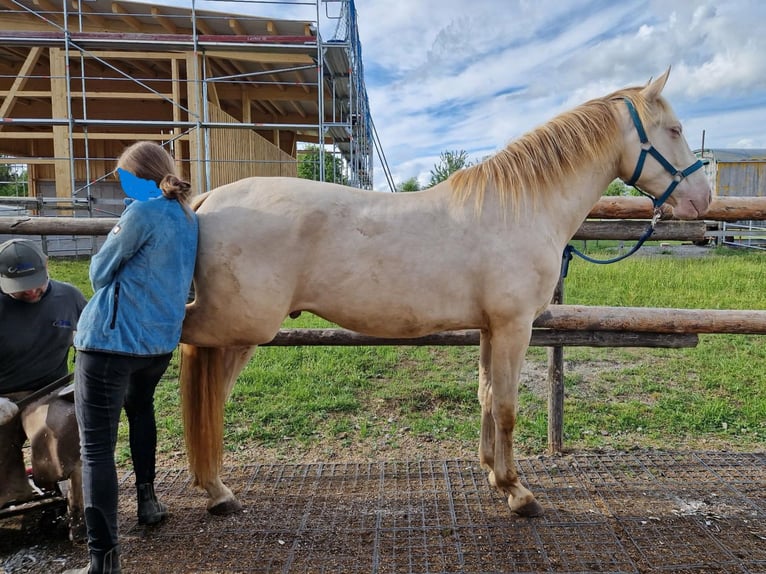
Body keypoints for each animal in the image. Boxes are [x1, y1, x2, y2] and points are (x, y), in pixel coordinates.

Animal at [179, 68, 711, 517]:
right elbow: (507, 406)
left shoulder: (490, 328)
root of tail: (209, 199)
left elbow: (486, 396)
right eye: (675, 130)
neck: (523, 208)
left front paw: (493, 474)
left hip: (237, 334)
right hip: (236, 325)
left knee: (210, 391)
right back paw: (211, 488)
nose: (702, 199)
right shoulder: (515, 327)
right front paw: (518, 491)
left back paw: (215, 488)